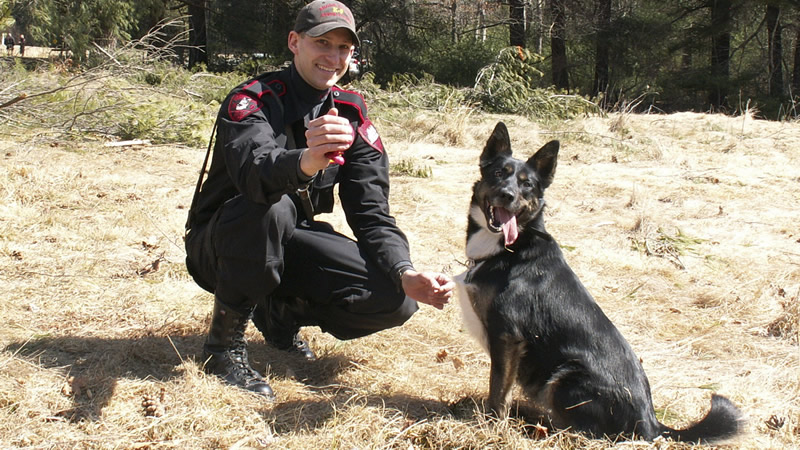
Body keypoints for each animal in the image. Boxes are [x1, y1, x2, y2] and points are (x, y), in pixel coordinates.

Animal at [456, 121, 744, 442]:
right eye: (498, 174)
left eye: (526, 185)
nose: (507, 195)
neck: (511, 246)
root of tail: (652, 423)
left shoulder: (507, 336)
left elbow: (498, 392)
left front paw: (489, 425)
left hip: (566, 375)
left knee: (579, 430)